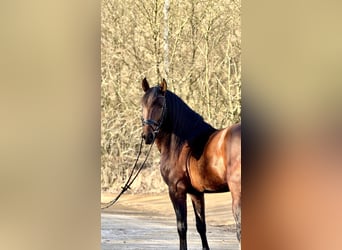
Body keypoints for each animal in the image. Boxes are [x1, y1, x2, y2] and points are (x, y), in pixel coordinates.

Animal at [139, 78, 240, 250]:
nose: (147, 136)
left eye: (160, 105)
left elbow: (182, 227)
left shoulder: (176, 190)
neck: (182, 145)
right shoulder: (196, 193)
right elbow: (201, 226)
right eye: (142, 105)